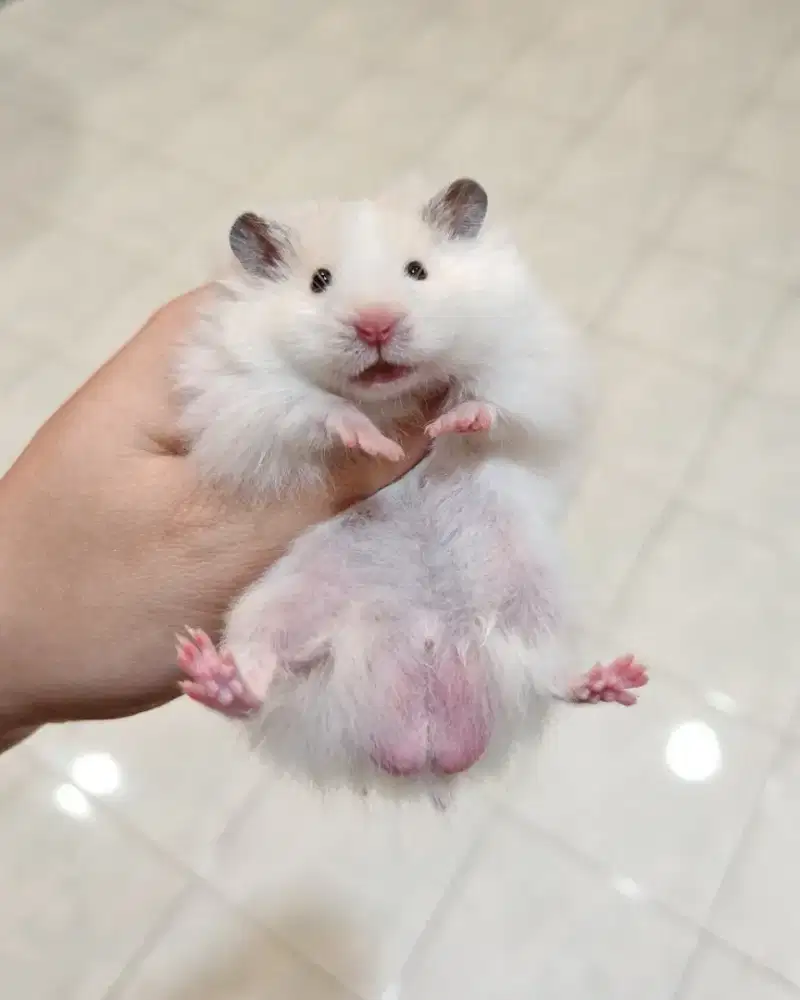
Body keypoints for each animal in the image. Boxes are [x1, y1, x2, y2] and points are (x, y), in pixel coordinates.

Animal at [175, 178, 648, 801]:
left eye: (418, 270)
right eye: (319, 280)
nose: (376, 324)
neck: (391, 394)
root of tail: (425, 730)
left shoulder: (527, 360)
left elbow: (490, 400)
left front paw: (450, 422)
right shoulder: (249, 392)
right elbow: (319, 409)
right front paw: (376, 444)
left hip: (535, 595)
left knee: (547, 675)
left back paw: (615, 679)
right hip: (276, 607)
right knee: (262, 680)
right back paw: (210, 674)